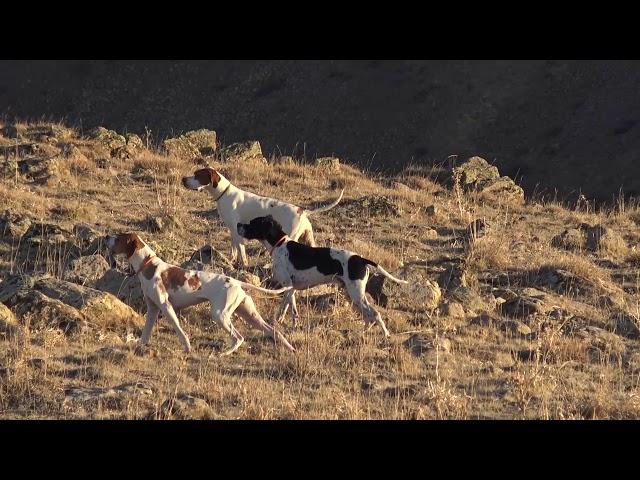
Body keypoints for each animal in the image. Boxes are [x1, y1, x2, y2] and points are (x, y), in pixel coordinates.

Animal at [105, 232, 296, 356]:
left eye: (119, 237)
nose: (107, 236)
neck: (148, 265)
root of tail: (236, 282)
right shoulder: (152, 309)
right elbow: (145, 333)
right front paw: (139, 347)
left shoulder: (166, 307)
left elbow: (179, 330)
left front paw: (187, 348)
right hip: (249, 314)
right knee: (274, 331)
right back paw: (290, 348)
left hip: (220, 315)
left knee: (238, 337)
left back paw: (223, 354)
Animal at [181, 168, 344, 266]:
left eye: (198, 175)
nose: (183, 179)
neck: (224, 194)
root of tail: (302, 211)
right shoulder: (232, 230)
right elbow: (234, 250)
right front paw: (232, 261)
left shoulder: (237, 231)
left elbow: (241, 252)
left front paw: (243, 266)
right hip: (308, 238)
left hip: (289, 237)